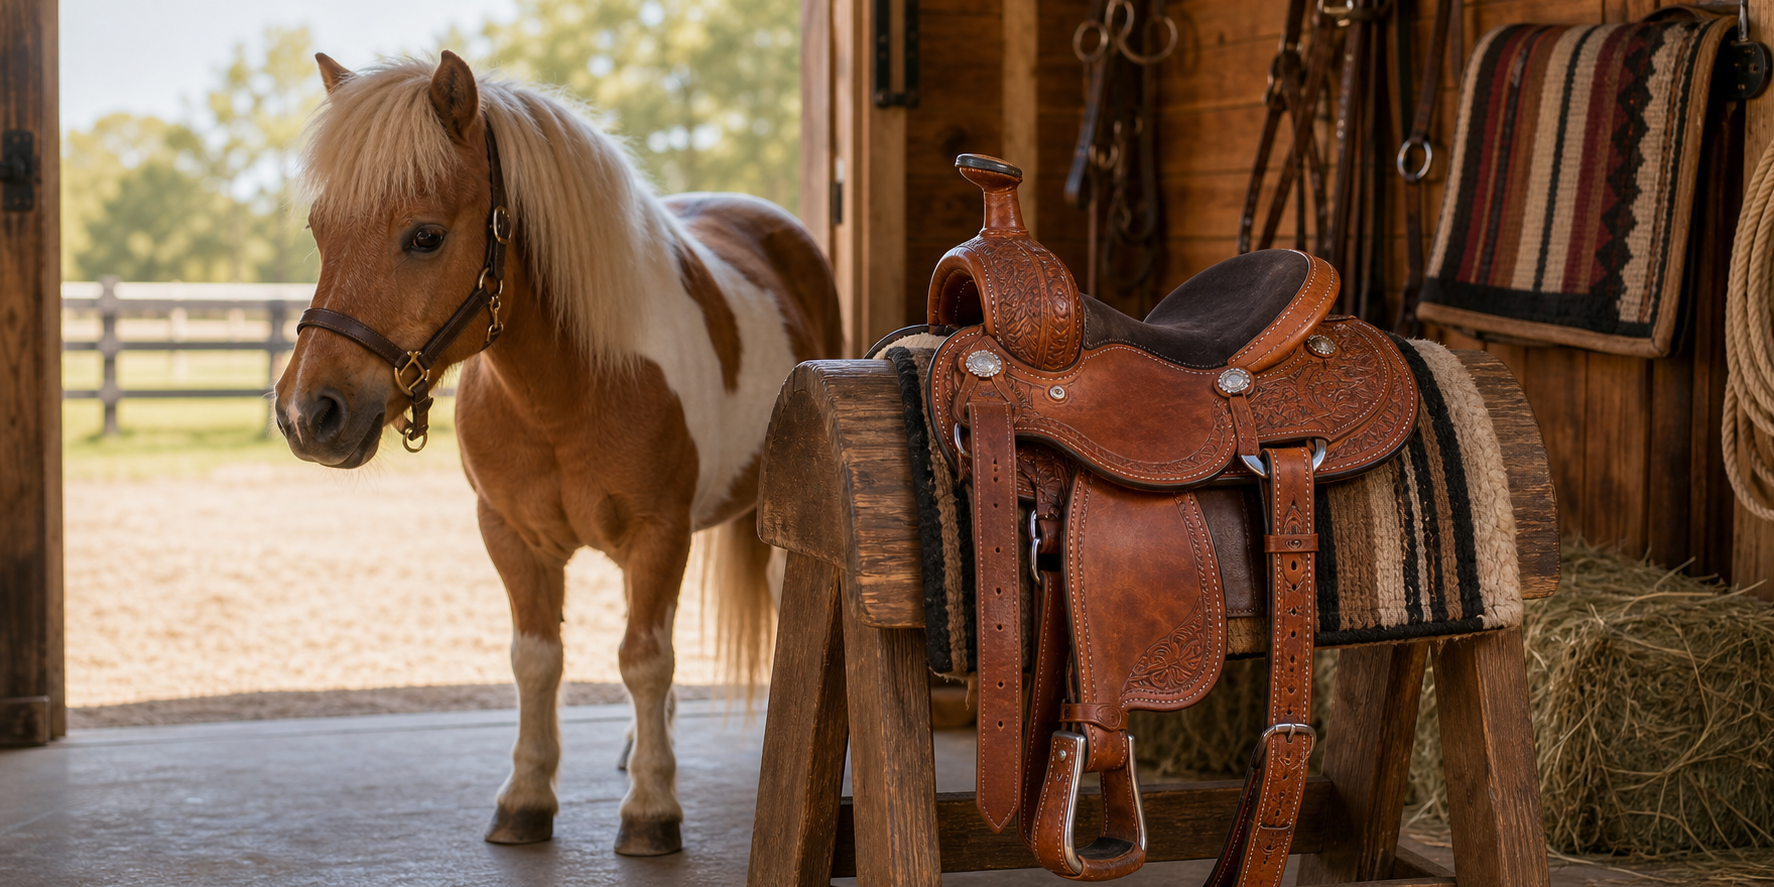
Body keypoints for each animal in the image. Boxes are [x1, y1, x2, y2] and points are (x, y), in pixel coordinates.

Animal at [272, 50, 841, 856]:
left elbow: (642, 659)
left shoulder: (659, 535)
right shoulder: (511, 536)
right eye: (321, 231)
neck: (566, 391)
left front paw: (652, 811)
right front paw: (526, 798)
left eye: (425, 236)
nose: (305, 413)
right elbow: (537, 660)